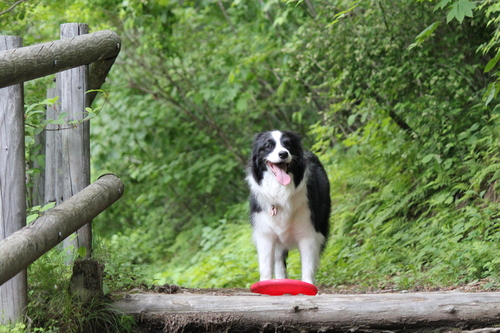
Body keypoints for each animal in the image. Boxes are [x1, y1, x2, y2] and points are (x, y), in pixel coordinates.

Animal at [247, 130, 332, 282]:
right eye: (268, 146)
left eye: (289, 145)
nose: (283, 154)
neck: (280, 193)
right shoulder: (265, 234)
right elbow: (266, 267)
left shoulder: (308, 232)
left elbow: (308, 267)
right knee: (279, 262)